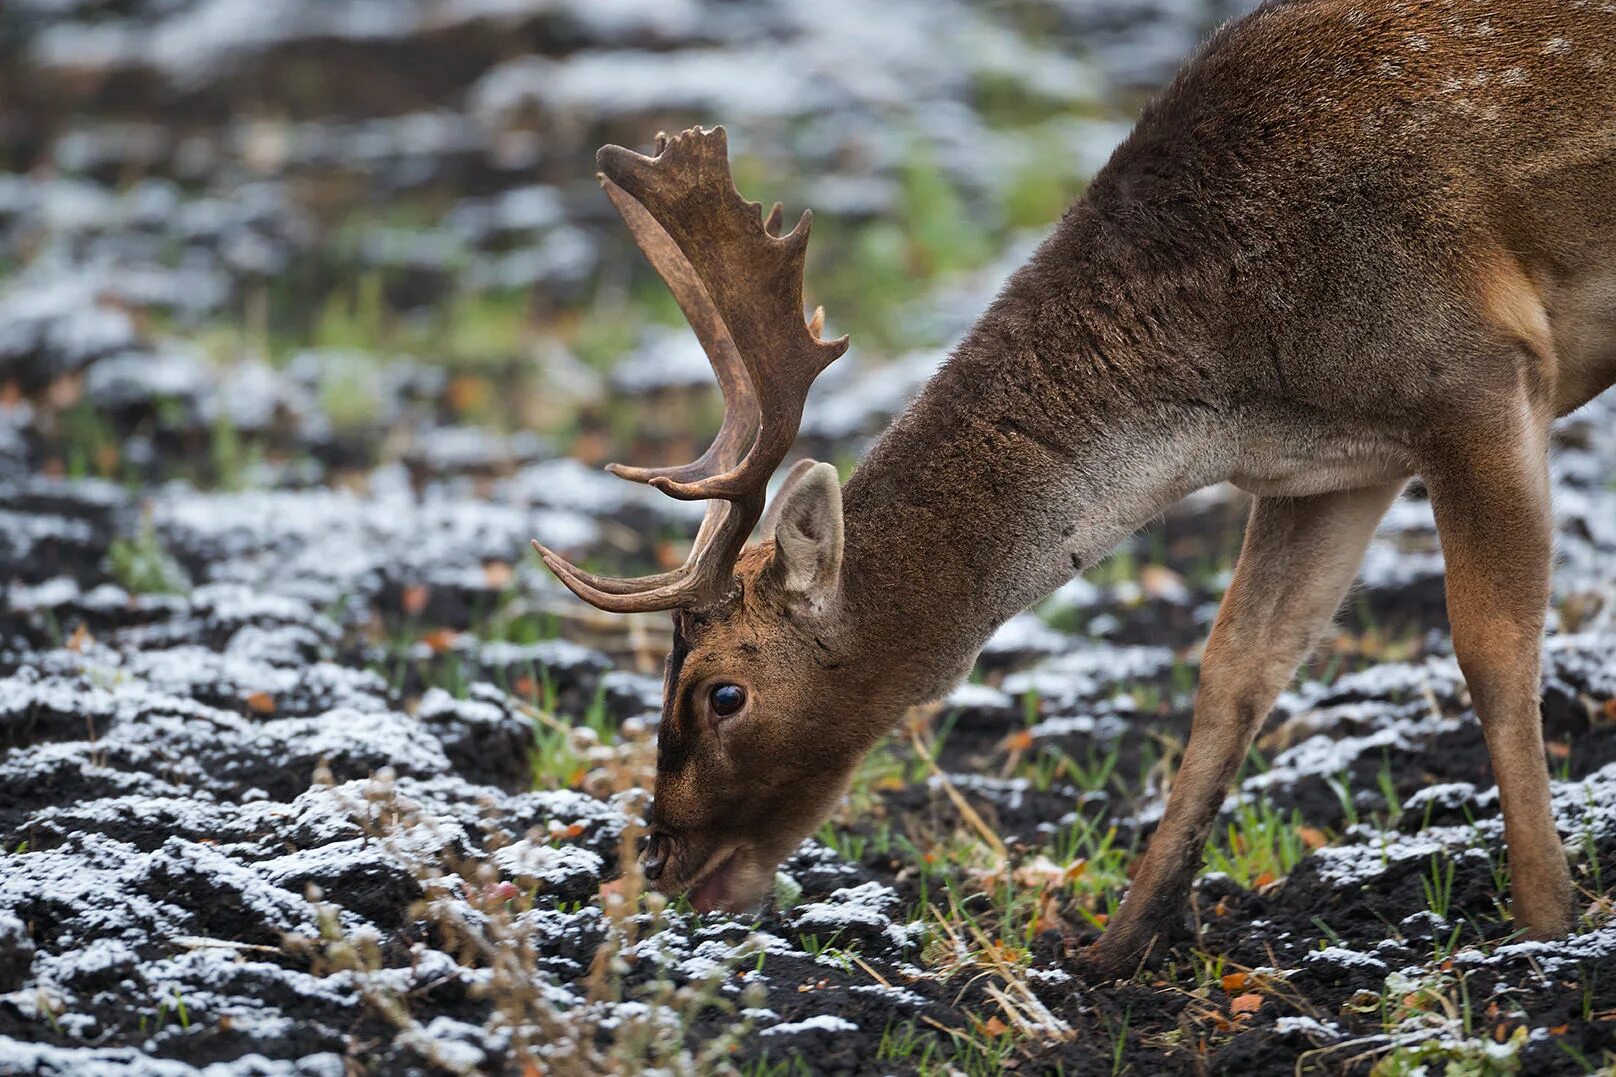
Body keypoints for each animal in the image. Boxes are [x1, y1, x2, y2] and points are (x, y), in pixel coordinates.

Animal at [533, 0, 1616, 970]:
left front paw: (1545, 924)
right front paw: (1115, 946)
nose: (661, 858)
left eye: (722, 693)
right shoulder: (1331, 466)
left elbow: (1491, 649)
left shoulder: (1474, 371)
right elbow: (1236, 669)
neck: (1239, 378)